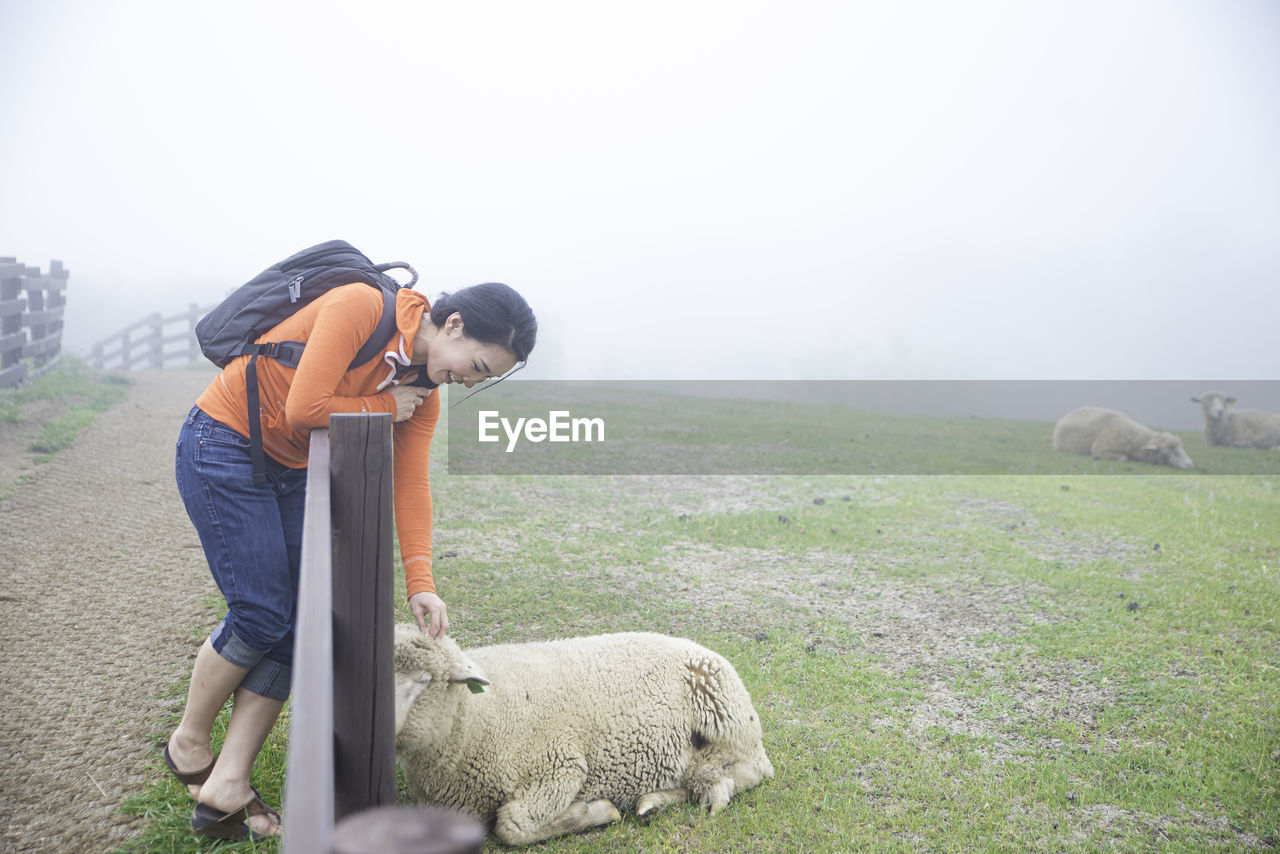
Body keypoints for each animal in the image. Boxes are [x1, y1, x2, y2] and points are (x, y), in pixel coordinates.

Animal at [391, 627, 768, 850]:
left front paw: (598, 811)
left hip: (725, 712)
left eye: (424, 681)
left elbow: (511, 825)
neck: (477, 715)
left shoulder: (561, 766)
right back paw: (653, 801)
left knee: (754, 769)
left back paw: (713, 790)